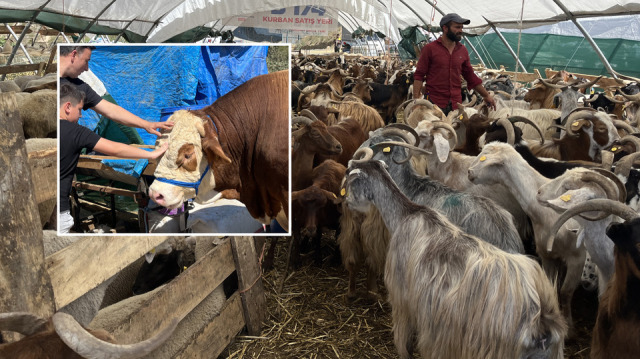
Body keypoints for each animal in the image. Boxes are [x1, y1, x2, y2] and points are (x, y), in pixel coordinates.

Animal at [340, 150, 564, 359]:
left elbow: (404, 344)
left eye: (351, 178)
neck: (405, 215)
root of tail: (541, 322)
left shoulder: (402, 299)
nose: (347, 202)